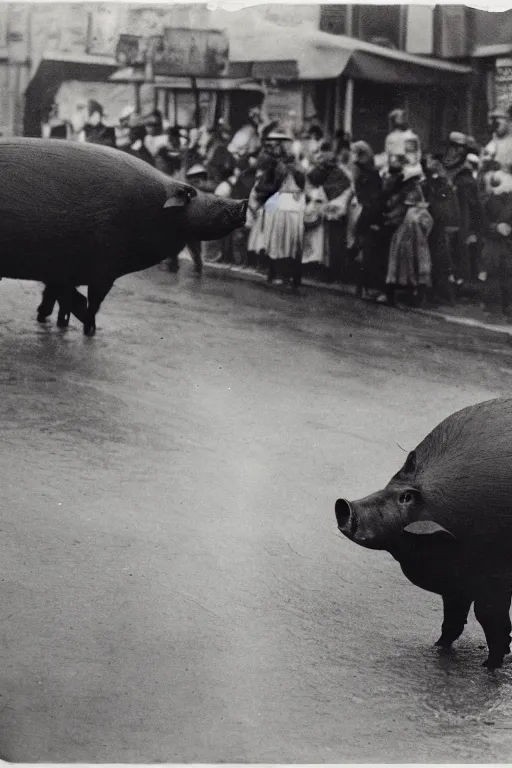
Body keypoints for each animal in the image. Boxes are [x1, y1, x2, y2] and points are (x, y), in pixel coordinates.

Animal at [0, 138, 246, 332]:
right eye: (191, 193)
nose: (242, 202)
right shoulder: (105, 265)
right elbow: (92, 301)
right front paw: (89, 329)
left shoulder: (63, 270)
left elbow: (58, 297)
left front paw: (52, 320)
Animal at [336, 400, 512, 668]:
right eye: (393, 485)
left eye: (406, 498)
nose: (344, 505)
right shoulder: (456, 582)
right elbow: (453, 618)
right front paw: (437, 646)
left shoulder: (496, 577)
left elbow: (489, 617)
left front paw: (489, 665)